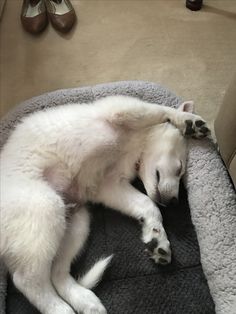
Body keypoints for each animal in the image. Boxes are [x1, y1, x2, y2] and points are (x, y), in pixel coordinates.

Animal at [0, 96, 210, 314]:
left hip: (77, 223)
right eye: (180, 168)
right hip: (45, 207)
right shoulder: (122, 109)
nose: (174, 202)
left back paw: (86, 301)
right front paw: (189, 121)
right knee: (27, 281)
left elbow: (148, 204)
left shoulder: (109, 185)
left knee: (56, 274)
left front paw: (157, 237)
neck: (137, 142)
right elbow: (159, 110)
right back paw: (60, 309)